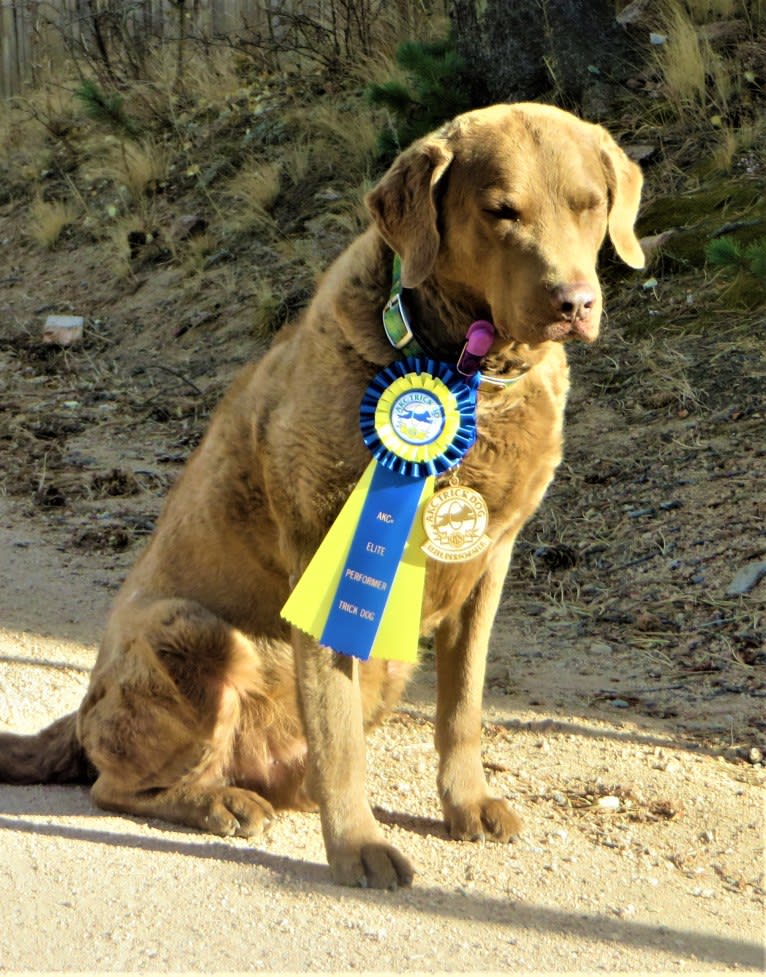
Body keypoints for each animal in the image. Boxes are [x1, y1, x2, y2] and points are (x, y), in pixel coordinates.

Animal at [0, 103, 644, 888]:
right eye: (501, 212)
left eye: (590, 206)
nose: (574, 301)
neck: (467, 368)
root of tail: (79, 711)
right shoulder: (330, 562)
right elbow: (337, 732)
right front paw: (358, 846)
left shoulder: (489, 560)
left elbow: (462, 707)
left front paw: (466, 805)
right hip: (193, 632)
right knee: (115, 784)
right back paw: (224, 804)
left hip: (388, 665)